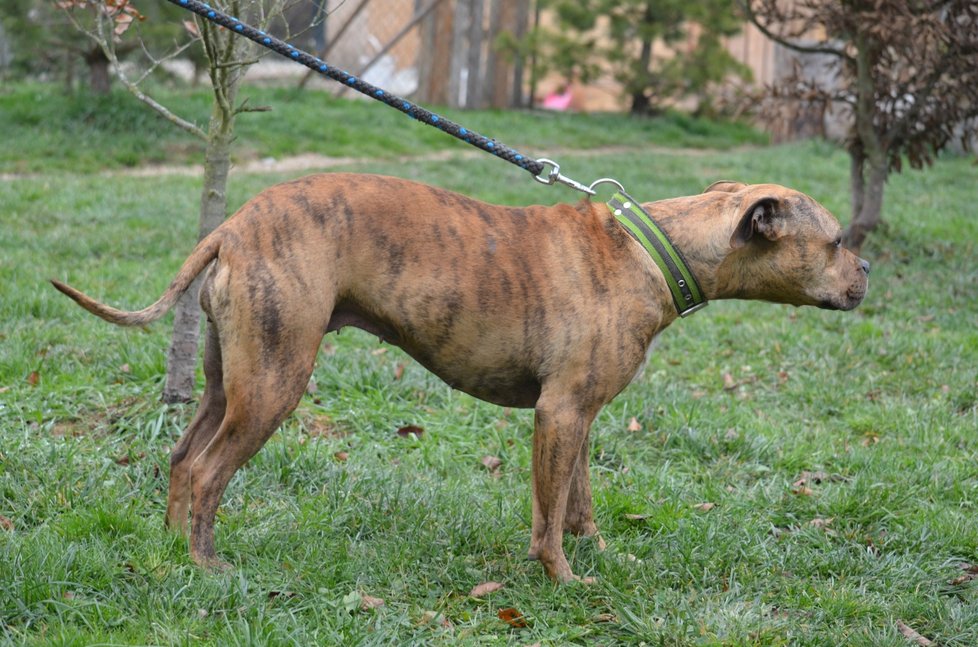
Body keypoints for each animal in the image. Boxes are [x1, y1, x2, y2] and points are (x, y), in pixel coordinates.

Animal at [49, 173, 864, 584]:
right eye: (835, 241)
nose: (868, 274)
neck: (654, 247)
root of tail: (235, 224)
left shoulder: (579, 418)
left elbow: (578, 503)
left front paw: (602, 556)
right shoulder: (559, 415)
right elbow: (547, 518)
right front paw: (563, 580)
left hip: (231, 381)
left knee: (183, 459)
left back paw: (168, 547)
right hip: (274, 385)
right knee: (210, 470)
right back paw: (205, 562)